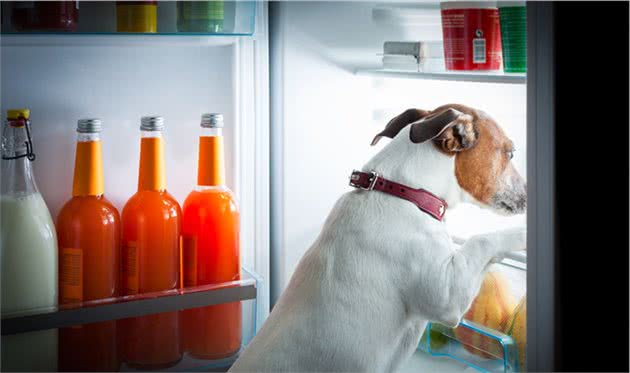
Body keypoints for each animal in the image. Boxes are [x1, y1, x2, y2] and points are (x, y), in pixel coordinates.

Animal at [231, 103, 528, 370]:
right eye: (511, 153)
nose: (528, 193)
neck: (404, 192)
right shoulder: (448, 295)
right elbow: (482, 240)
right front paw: (523, 233)